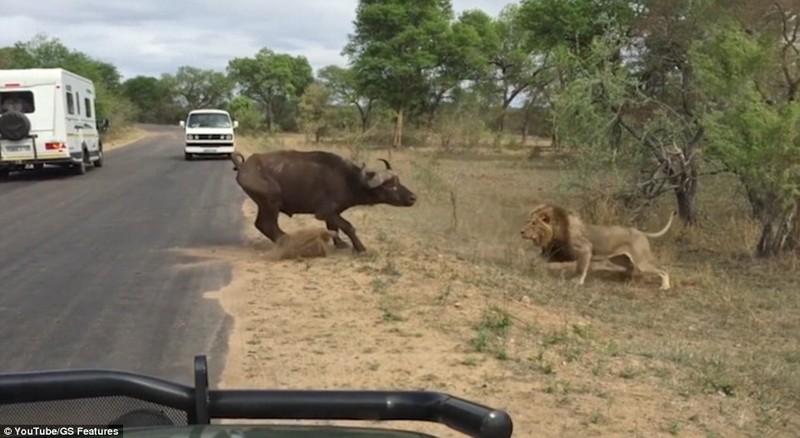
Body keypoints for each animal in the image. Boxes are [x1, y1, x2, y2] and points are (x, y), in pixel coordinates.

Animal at [230, 151, 418, 253]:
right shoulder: (324, 212)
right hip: (270, 202)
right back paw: (289, 243)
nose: (412, 197)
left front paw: (340, 244)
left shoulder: (332, 214)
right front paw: (360, 248)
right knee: (266, 224)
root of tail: (244, 167)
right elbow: (348, 226)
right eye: (390, 186)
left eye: (398, 181)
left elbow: (334, 228)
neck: (347, 179)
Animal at [520, 204, 680, 290]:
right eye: (528, 221)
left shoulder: (585, 249)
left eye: (534, 223)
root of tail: (640, 232)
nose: (521, 231)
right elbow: (538, 259)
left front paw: (577, 282)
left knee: (663, 270)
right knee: (630, 267)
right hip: (619, 259)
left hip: (642, 262)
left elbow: (581, 269)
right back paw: (624, 278)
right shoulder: (560, 253)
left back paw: (665, 286)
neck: (554, 232)